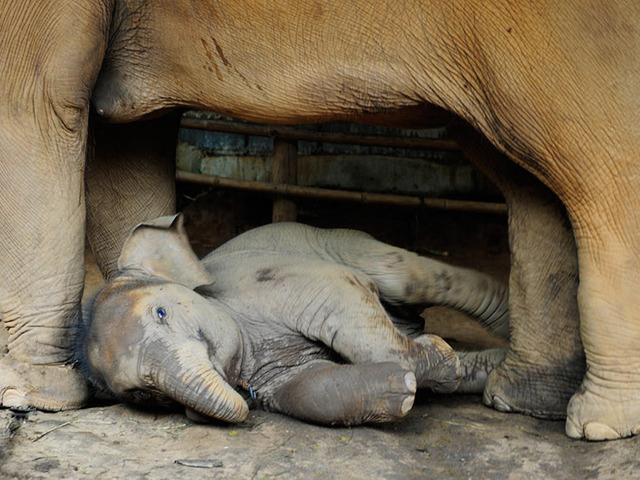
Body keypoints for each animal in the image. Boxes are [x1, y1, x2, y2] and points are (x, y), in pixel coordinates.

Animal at [78, 214, 509, 425]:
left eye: (161, 313)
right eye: (142, 395)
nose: (244, 397)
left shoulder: (270, 280)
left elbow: (345, 298)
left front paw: (440, 357)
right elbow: (310, 389)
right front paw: (402, 390)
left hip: (343, 242)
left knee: (405, 278)